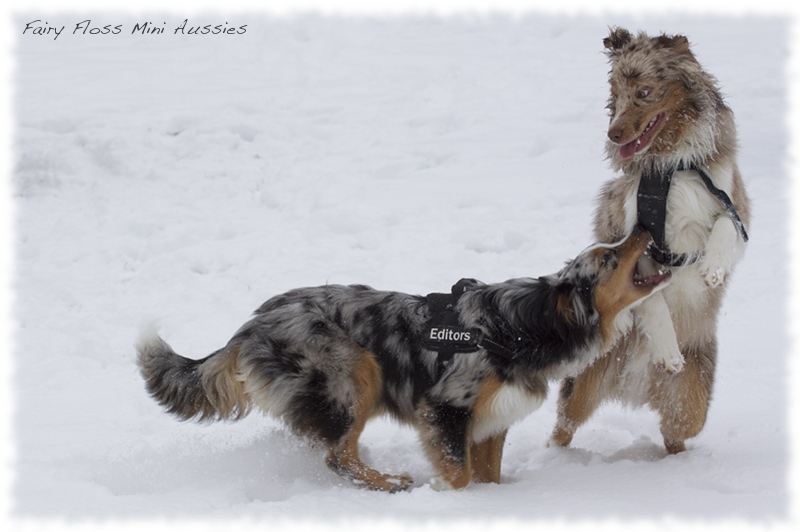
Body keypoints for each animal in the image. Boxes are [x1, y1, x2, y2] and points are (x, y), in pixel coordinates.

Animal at [552, 27, 752, 456]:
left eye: (643, 92)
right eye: (616, 92)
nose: (612, 134)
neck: (672, 166)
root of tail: (635, 385)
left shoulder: (736, 205)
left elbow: (725, 228)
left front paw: (712, 268)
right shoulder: (625, 230)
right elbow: (651, 297)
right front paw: (667, 350)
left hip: (690, 404)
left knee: (677, 433)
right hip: (583, 384)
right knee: (563, 425)